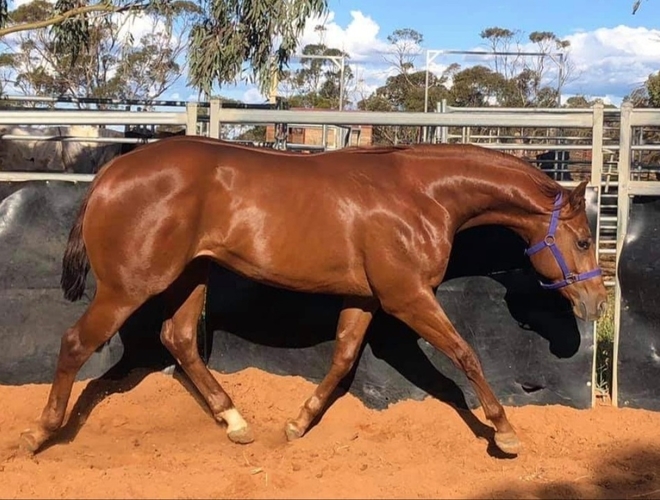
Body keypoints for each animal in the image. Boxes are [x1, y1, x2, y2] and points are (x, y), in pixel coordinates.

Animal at [19, 136, 607, 457]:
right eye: (582, 240)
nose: (597, 303)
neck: (418, 195)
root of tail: (111, 172)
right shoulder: (407, 297)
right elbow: (465, 354)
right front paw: (505, 433)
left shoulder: (365, 299)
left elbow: (343, 359)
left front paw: (297, 424)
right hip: (129, 286)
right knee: (76, 343)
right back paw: (40, 433)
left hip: (190, 276)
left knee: (179, 338)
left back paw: (236, 423)